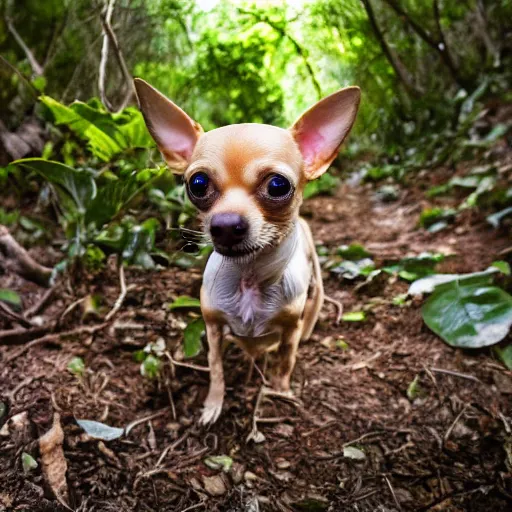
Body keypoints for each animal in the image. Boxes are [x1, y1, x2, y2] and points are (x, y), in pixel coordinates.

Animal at [136, 79, 360, 424]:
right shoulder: (213, 330)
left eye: (278, 186)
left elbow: (285, 362)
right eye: (197, 184)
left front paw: (280, 392)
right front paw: (213, 405)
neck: (249, 280)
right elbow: (216, 370)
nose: (226, 225)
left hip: (316, 282)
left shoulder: (288, 332)